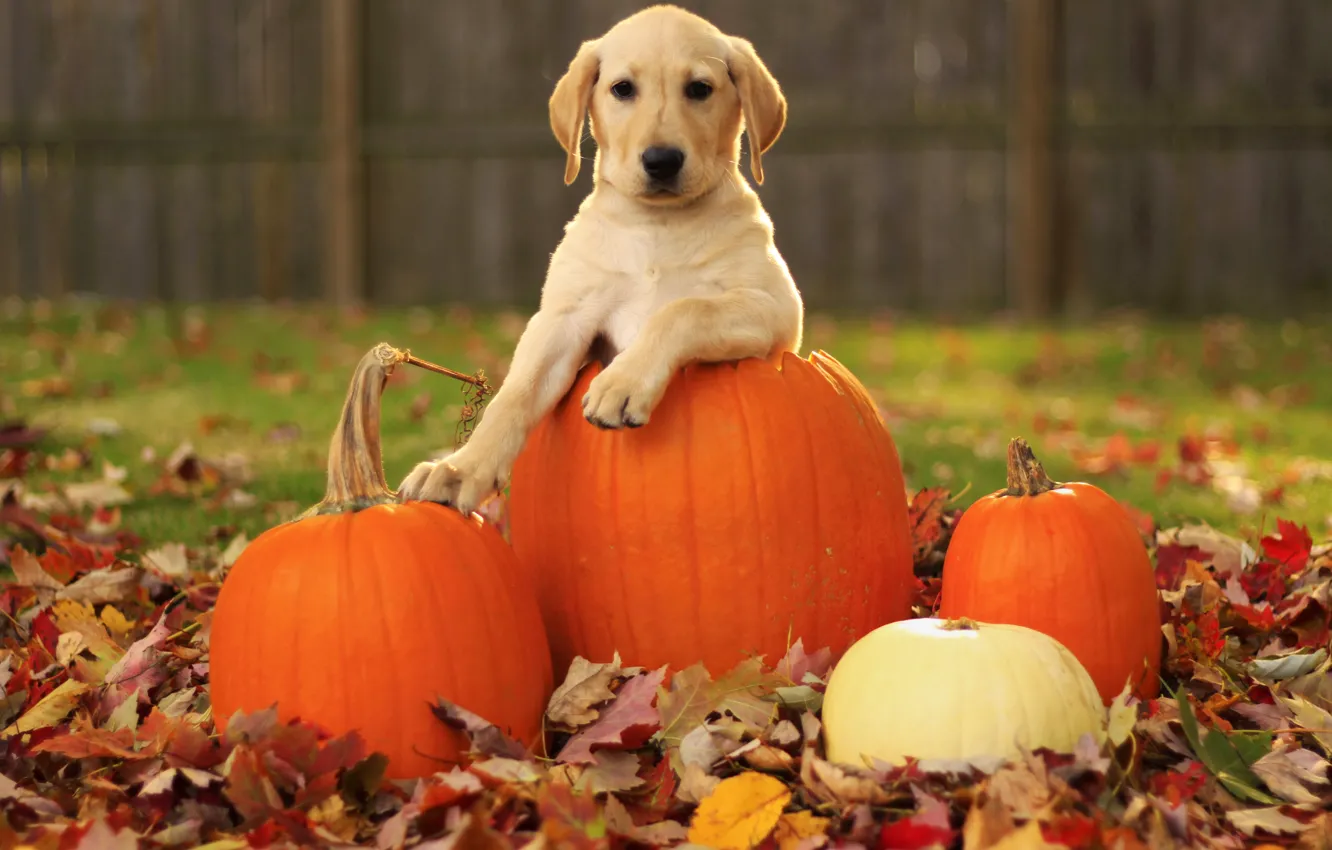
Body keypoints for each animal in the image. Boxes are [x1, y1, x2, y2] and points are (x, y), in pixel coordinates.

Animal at [396, 4, 799, 511]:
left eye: (700, 89)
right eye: (622, 89)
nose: (661, 160)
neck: (658, 227)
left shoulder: (775, 308)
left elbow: (684, 309)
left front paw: (621, 384)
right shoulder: (564, 318)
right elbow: (516, 392)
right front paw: (459, 469)